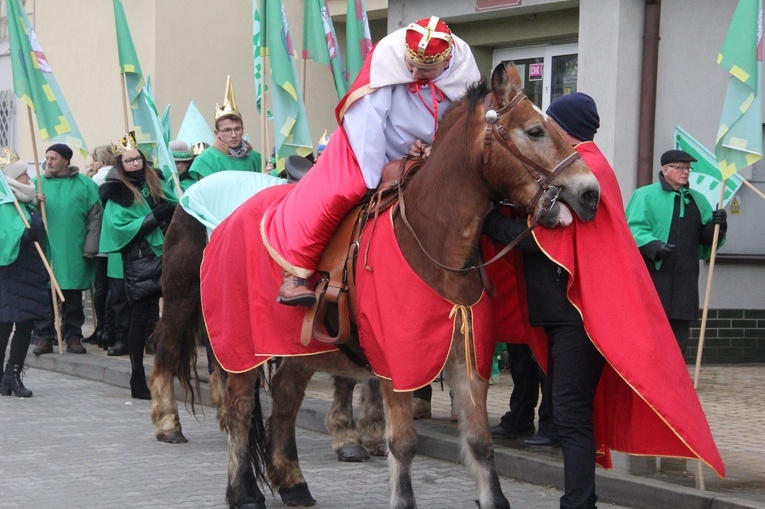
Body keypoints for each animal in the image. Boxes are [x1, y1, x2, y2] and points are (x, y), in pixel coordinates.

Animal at [149, 187, 388, 460]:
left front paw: (374, 433)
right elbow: (348, 378)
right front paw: (348, 438)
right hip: (182, 293)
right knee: (167, 349)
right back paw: (169, 425)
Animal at [198, 63, 604, 508]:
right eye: (534, 131)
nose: (590, 194)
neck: (431, 242)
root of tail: (226, 223)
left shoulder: (468, 361)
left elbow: (480, 442)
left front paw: (493, 498)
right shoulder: (399, 367)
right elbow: (405, 443)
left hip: (298, 350)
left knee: (285, 401)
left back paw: (293, 483)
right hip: (241, 352)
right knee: (238, 413)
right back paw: (244, 492)